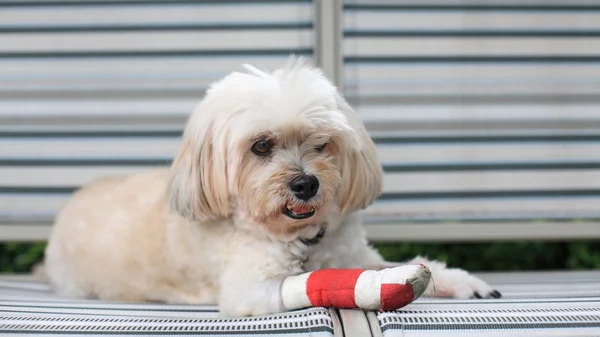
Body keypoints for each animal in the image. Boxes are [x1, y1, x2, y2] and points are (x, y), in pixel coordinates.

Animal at [42, 56, 500, 316]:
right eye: (261, 145)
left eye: (321, 143)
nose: (305, 183)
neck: (302, 239)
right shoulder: (251, 289)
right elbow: (314, 284)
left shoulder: (352, 254)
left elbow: (401, 266)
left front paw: (458, 282)